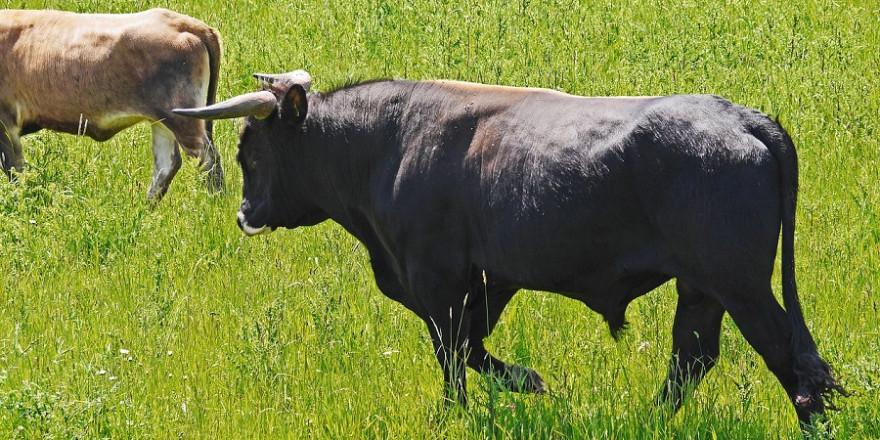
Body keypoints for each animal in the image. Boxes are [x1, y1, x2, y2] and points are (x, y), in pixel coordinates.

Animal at [0, 9, 223, 201]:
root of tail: (189, 24)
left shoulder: (7, 121)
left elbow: (14, 170)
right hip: (162, 119)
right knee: (167, 165)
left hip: (182, 117)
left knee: (207, 160)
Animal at [175, 71, 844, 426]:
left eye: (250, 150)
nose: (245, 216)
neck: (388, 143)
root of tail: (742, 117)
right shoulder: (489, 280)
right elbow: (472, 348)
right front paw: (529, 382)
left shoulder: (438, 278)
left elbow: (452, 353)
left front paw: (464, 412)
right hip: (701, 287)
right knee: (693, 358)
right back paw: (648, 422)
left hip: (740, 284)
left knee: (785, 357)